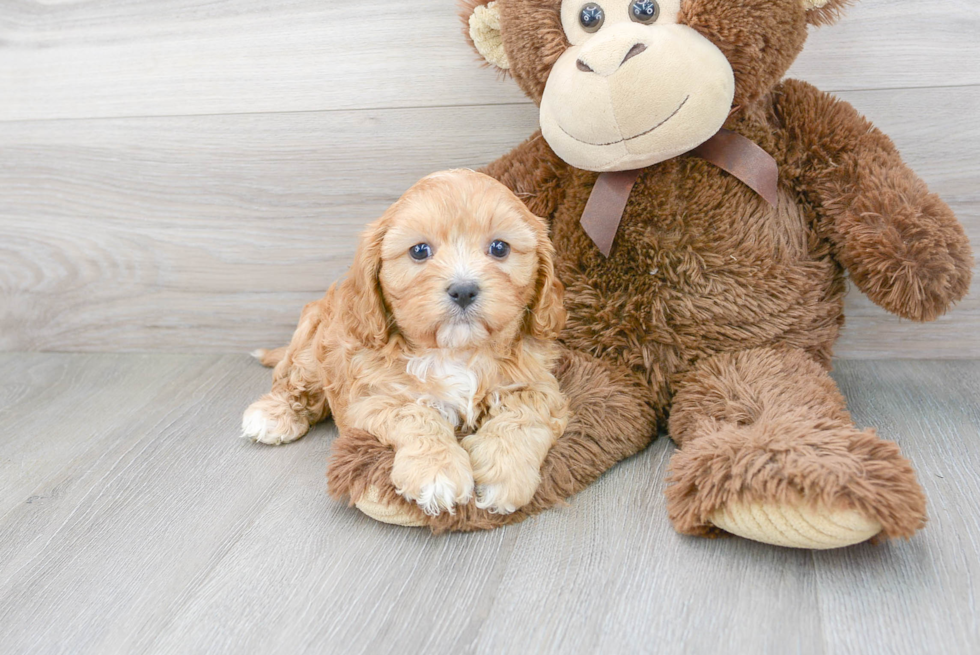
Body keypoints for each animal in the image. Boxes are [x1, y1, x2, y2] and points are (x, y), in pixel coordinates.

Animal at [240, 170, 572, 516]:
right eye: (419, 251)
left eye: (499, 248)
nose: (463, 290)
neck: (456, 351)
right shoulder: (376, 396)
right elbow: (416, 416)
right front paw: (436, 472)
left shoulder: (538, 385)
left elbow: (522, 416)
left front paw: (505, 473)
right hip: (310, 343)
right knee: (293, 380)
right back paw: (271, 415)